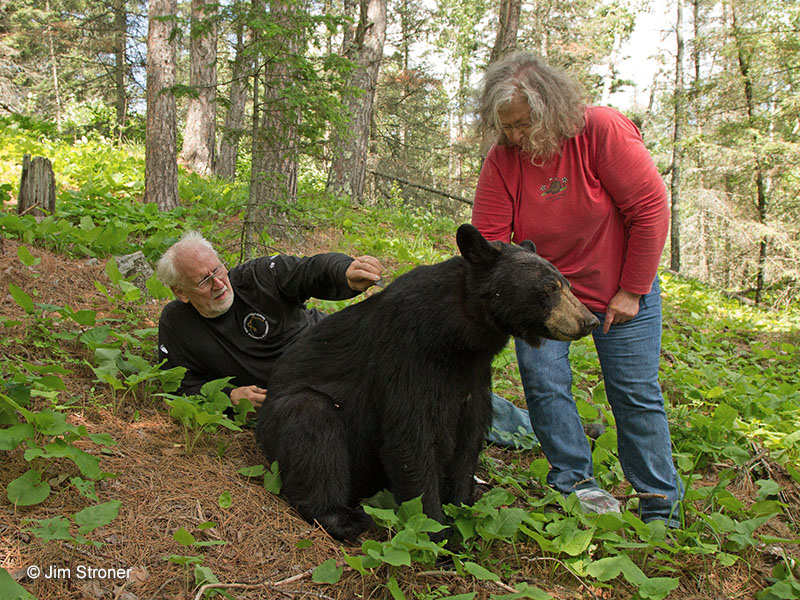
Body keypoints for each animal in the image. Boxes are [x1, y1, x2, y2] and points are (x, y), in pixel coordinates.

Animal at [253, 223, 596, 540]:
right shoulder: (409, 355)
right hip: (283, 421)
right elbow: (411, 437)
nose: (589, 320)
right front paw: (435, 531)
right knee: (313, 426)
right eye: (550, 287)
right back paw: (342, 517)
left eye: (567, 284)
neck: (459, 336)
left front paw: (460, 506)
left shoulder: (472, 376)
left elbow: (469, 436)